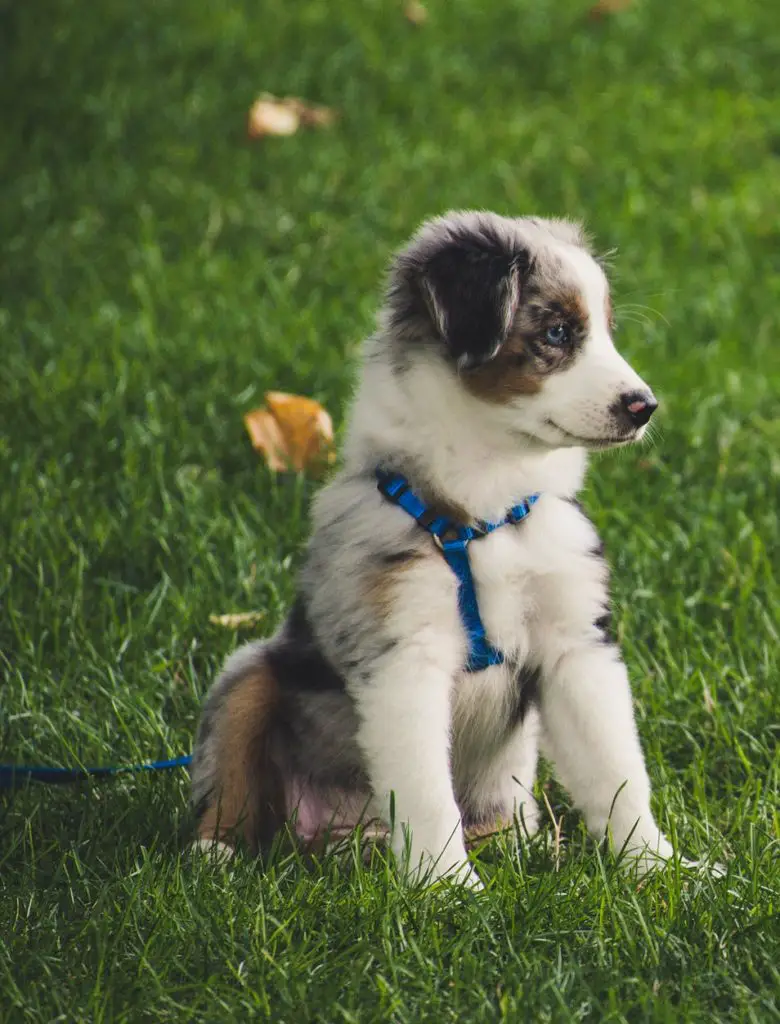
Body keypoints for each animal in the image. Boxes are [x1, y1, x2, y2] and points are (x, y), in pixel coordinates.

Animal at [190, 209, 700, 888]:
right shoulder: (404, 653)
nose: (645, 407)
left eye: (606, 333)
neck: (485, 510)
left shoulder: (577, 643)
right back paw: (214, 852)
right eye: (558, 332)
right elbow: (426, 790)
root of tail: (338, 834)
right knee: (231, 779)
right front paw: (447, 890)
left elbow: (616, 771)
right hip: (249, 674)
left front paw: (663, 871)